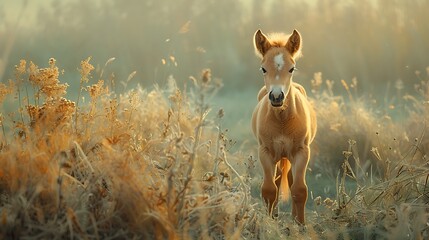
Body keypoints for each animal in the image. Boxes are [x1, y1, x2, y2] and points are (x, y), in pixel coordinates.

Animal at [251, 29, 314, 224]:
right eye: (263, 69)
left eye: (291, 68)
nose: (277, 97)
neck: (282, 121)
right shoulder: (265, 152)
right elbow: (269, 189)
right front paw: (270, 221)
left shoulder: (302, 151)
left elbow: (299, 189)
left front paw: (300, 224)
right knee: (278, 180)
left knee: (292, 181)